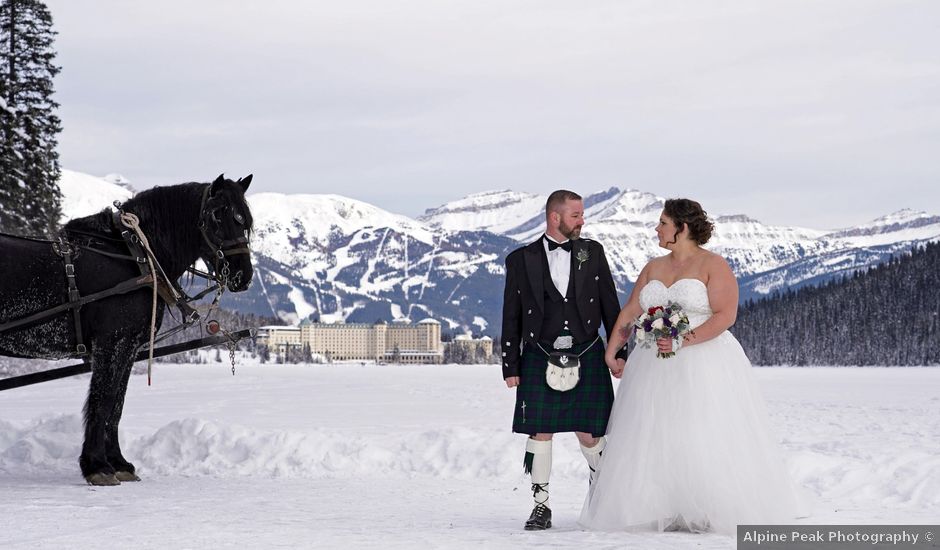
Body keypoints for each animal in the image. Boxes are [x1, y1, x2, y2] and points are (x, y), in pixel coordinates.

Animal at [0, 175, 253, 486]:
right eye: (217, 215)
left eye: (245, 221)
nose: (243, 275)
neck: (134, 258)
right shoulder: (113, 344)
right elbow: (103, 401)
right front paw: (97, 466)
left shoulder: (129, 348)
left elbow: (117, 405)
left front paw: (118, 462)